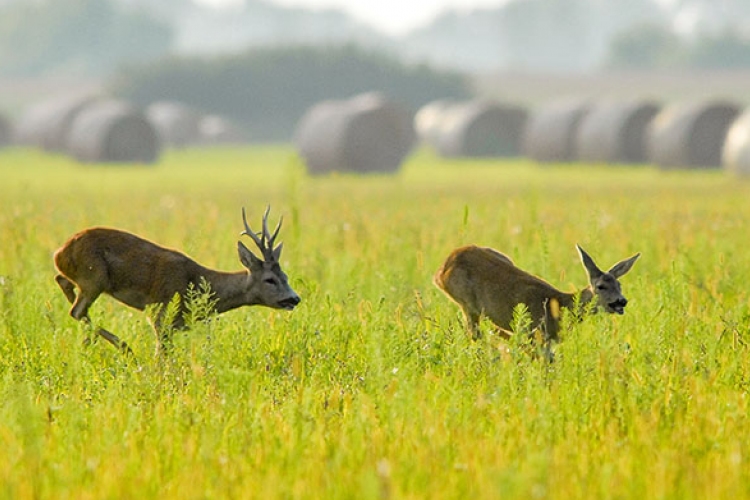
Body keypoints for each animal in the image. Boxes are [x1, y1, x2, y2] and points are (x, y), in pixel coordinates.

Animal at [54, 207, 302, 356]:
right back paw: (126, 349)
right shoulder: (161, 313)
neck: (200, 282)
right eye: (270, 279)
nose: (295, 298)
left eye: (286, 277)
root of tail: (59, 252)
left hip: (86, 279)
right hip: (94, 277)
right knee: (77, 310)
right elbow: (162, 355)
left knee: (65, 286)